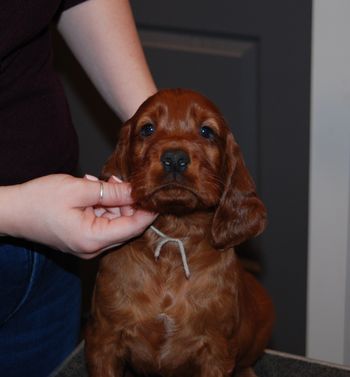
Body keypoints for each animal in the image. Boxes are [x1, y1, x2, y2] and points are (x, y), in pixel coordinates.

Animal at [85, 89, 274, 376]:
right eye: (147, 129)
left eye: (206, 131)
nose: (174, 158)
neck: (174, 237)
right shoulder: (103, 340)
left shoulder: (216, 352)